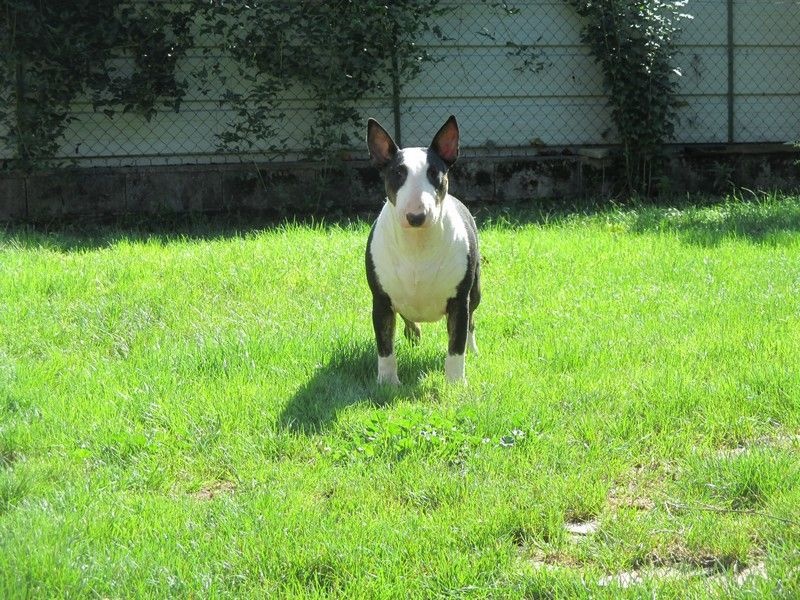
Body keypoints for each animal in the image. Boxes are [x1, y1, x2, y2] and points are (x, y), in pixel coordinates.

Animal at [365, 115, 480, 384]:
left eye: (434, 173)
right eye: (398, 173)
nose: (416, 216)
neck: (417, 246)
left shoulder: (459, 300)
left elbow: (456, 344)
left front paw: (455, 384)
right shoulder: (381, 300)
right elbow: (385, 346)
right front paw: (387, 383)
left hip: (476, 289)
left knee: (471, 321)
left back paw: (473, 349)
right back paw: (414, 333)